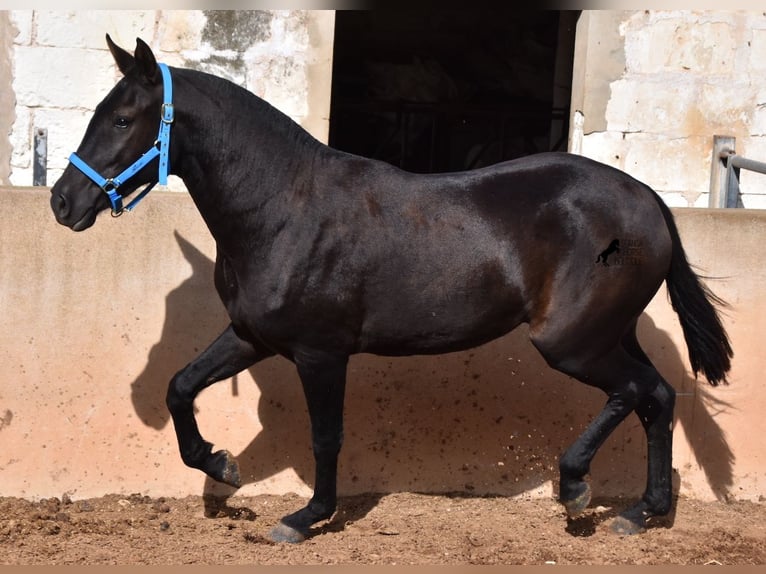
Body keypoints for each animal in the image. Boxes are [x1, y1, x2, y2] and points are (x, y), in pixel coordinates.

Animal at [51, 37, 736, 544]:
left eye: (121, 119)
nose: (62, 202)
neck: (283, 207)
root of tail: (646, 200)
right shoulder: (252, 336)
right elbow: (181, 387)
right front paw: (222, 464)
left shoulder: (321, 352)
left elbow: (326, 436)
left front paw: (305, 518)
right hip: (608, 333)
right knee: (657, 399)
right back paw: (641, 512)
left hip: (572, 343)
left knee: (634, 393)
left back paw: (576, 490)